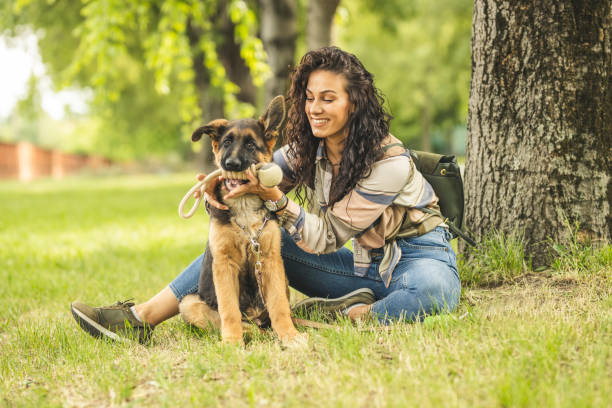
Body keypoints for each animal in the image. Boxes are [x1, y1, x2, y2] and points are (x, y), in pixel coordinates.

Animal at [178, 96, 300, 344]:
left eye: (251, 145)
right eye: (226, 143)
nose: (231, 164)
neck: (244, 206)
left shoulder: (270, 260)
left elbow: (279, 306)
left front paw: (289, 335)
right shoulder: (224, 264)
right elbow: (229, 309)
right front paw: (232, 342)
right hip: (188, 303)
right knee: (230, 322)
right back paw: (248, 332)